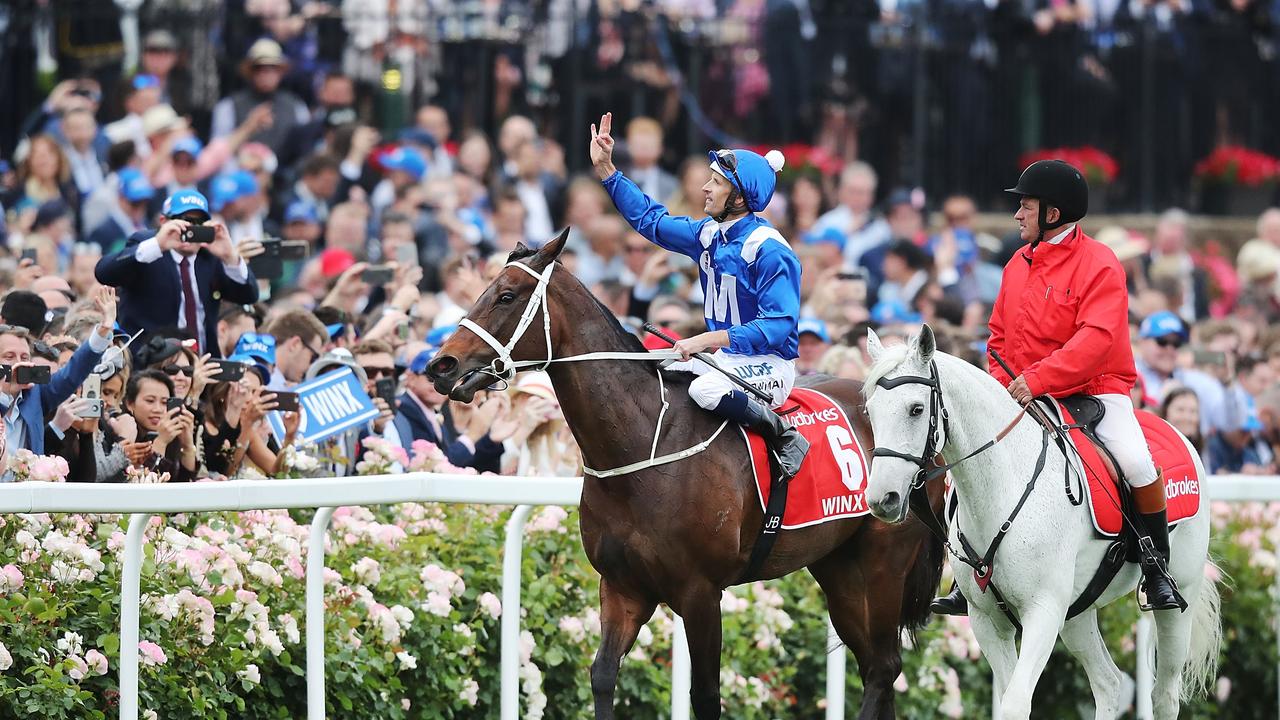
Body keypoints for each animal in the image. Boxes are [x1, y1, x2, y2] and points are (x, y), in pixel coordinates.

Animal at [430, 230, 942, 717]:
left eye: (506, 295)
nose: (441, 365)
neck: (640, 448)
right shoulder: (622, 586)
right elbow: (602, 676)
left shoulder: (700, 592)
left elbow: (706, 695)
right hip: (839, 566)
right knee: (877, 667)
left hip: (882, 562)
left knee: (884, 667)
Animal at [860, 326, 1218, 717]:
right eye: (870, 412)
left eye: (916, 409)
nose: (883, 499)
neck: (1003, 487)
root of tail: (1180, 433)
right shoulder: (987, 620)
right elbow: (1007, 699)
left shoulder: (1043, 611)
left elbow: (1016, 703)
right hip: (1077, 613)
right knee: (1108, 683)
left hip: (1177, 600)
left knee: (1164, 694)